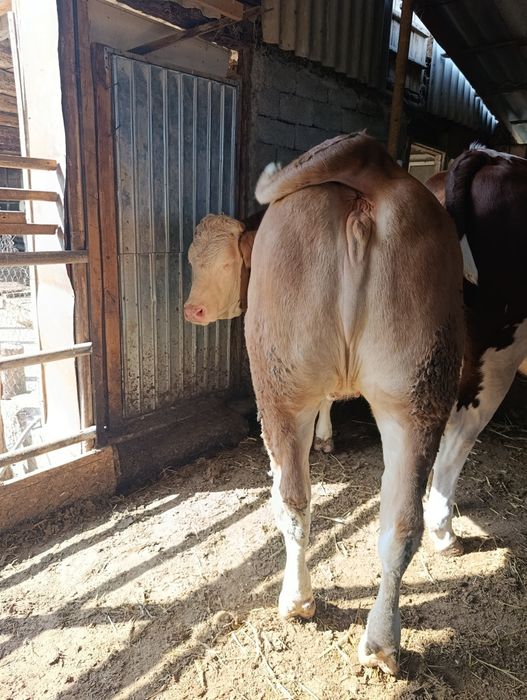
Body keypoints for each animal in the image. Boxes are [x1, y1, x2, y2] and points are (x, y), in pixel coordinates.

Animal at [244, 132, 464, 674]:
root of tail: (374, 171)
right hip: (417, 391)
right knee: (401, 524)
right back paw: (383, 645)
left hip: (276, 383)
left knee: (292, 501)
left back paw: (296, 602)